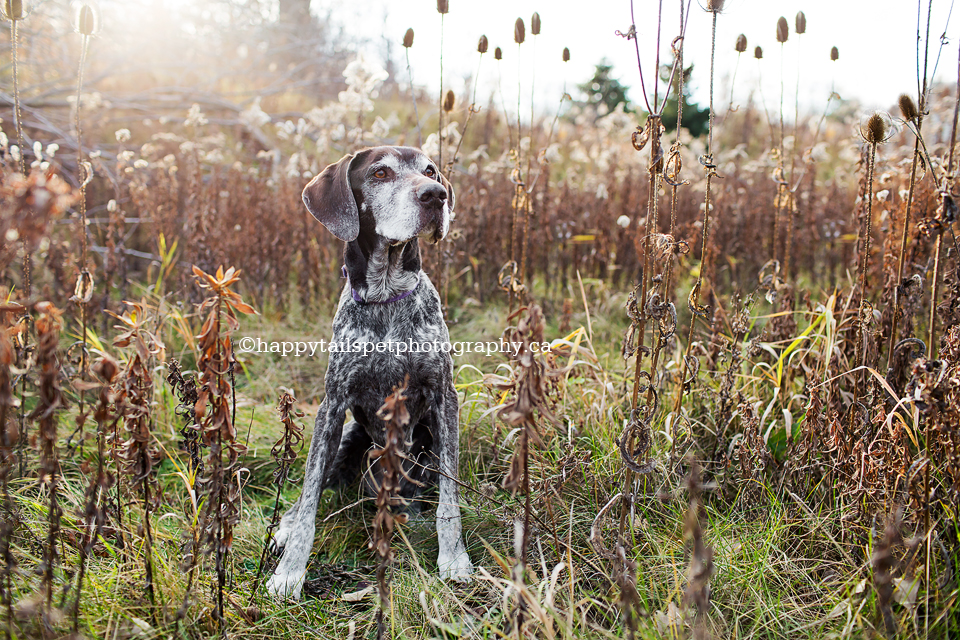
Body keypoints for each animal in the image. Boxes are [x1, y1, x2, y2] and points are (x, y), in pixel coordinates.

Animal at [264, 145, 474, 600]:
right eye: (380, 173)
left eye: (430, 171)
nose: (435, 196)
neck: (386, 295)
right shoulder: (331, 407)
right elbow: (308, 501)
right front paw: (289, 573)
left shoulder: (444, 400)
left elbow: (449, 499)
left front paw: (454, 559)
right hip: (346, 439)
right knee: (305, 496)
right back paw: (284, 529)